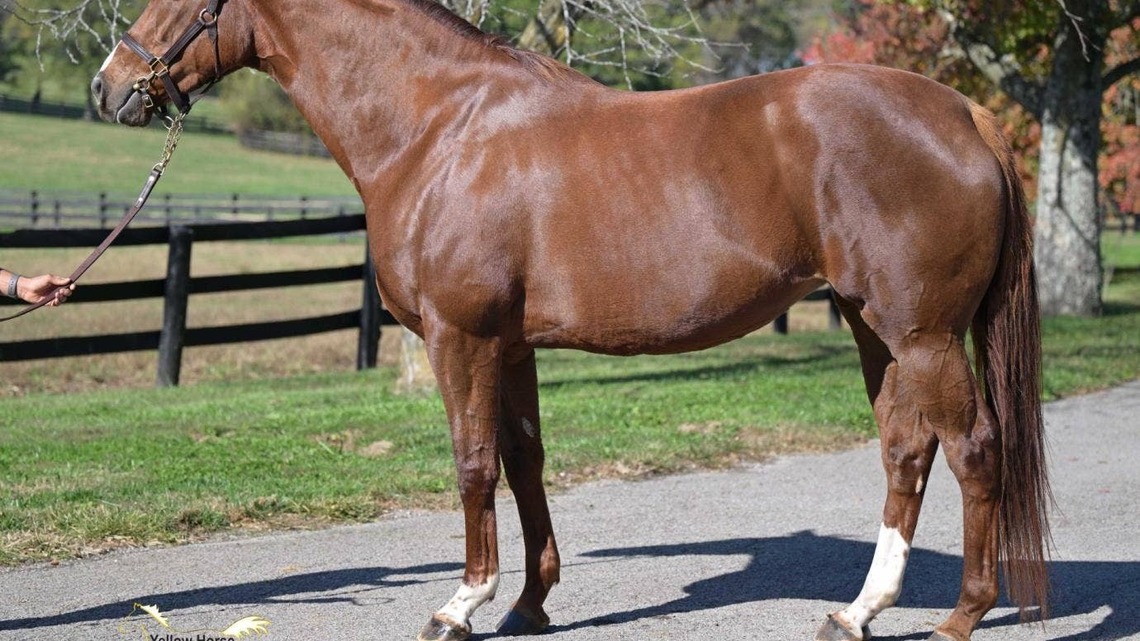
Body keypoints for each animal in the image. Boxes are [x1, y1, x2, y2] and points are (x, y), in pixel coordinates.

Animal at [90, 1, 1050, 640]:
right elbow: (524, 462)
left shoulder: (462, 339)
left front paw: (461, 603)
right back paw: (858, 609)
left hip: (922, 333)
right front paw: (528, 602)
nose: (109, 89)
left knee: (973, 449)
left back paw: (961, 615)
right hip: (873, 326)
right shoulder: (510, 346)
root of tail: (965, 113)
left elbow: (473, 464)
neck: (439, 128)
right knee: (907, 448)